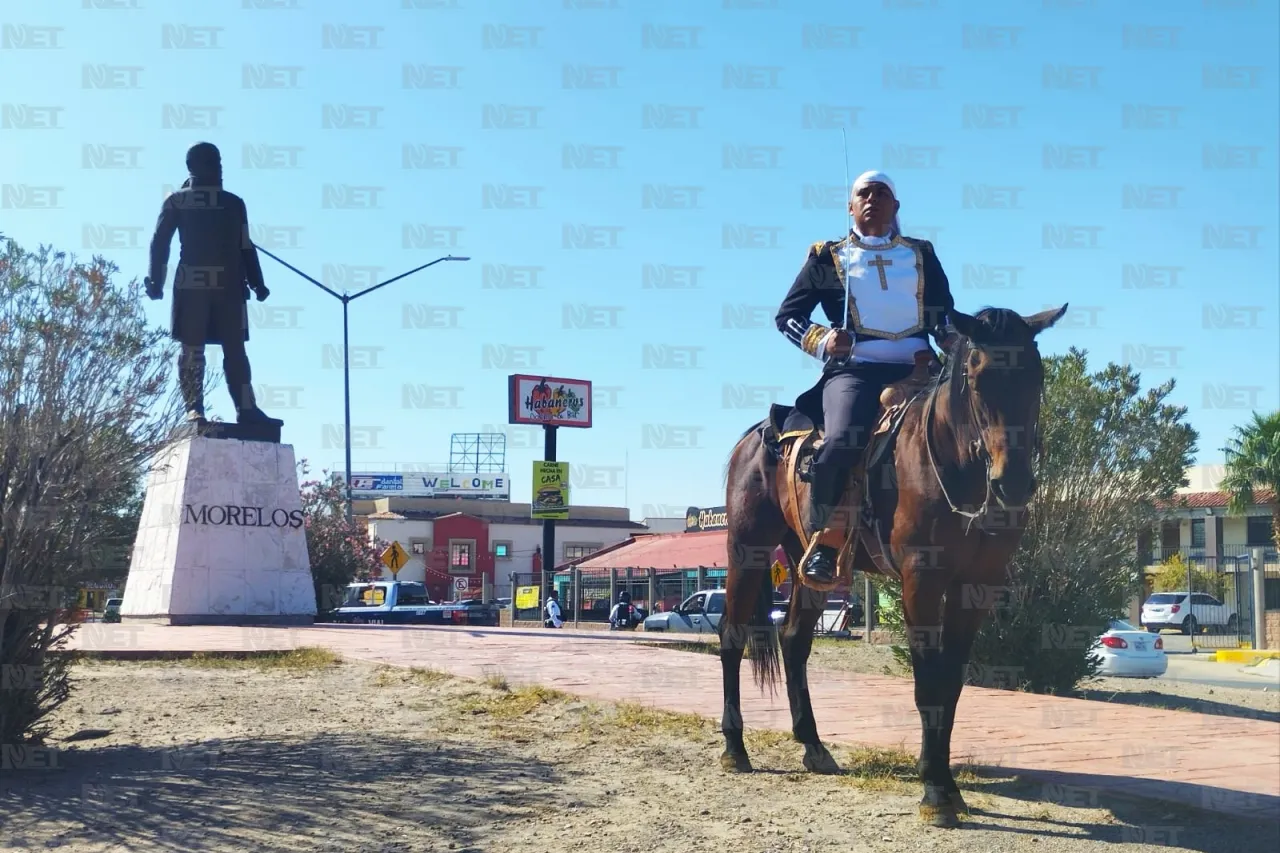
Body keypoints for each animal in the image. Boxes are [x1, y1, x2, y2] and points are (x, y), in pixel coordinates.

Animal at [721, 303, 1070, 824]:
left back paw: (813, 745)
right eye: (977, 377)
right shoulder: (920, 582)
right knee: (732, 638)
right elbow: (926, 682)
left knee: (795, 641)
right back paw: (735, 747)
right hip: (747, 550)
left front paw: (945, 781)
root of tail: (756, 434)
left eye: (1037, 375)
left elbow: (950, 682)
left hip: (808, 565)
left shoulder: (977, 586)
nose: (1013, 484)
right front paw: (936, 791)